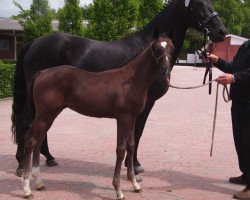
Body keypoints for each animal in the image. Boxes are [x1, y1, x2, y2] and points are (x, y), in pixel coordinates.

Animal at [11, 0, 227, 180]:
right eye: (199, 4)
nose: (221, 32)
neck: (147, 50)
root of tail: (33, 43)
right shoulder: (145, 104)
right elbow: (137, 133)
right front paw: (135, 165)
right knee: (25, 123)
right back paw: (22, 164)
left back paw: (48, 158)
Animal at [21, 34, 173, 200]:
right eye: (156, 48)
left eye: (171, 47)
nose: (166, 70)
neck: (130, 81)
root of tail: (42, 72)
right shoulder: (123, 118)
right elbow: (121, 149)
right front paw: (118, 190)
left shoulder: (132, 118)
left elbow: (131, 146)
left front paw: (135, 184)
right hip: (44, 114)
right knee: (30, 140)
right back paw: (27, 189)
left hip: (50, 114)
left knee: (38, 140)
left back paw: (39, 183)